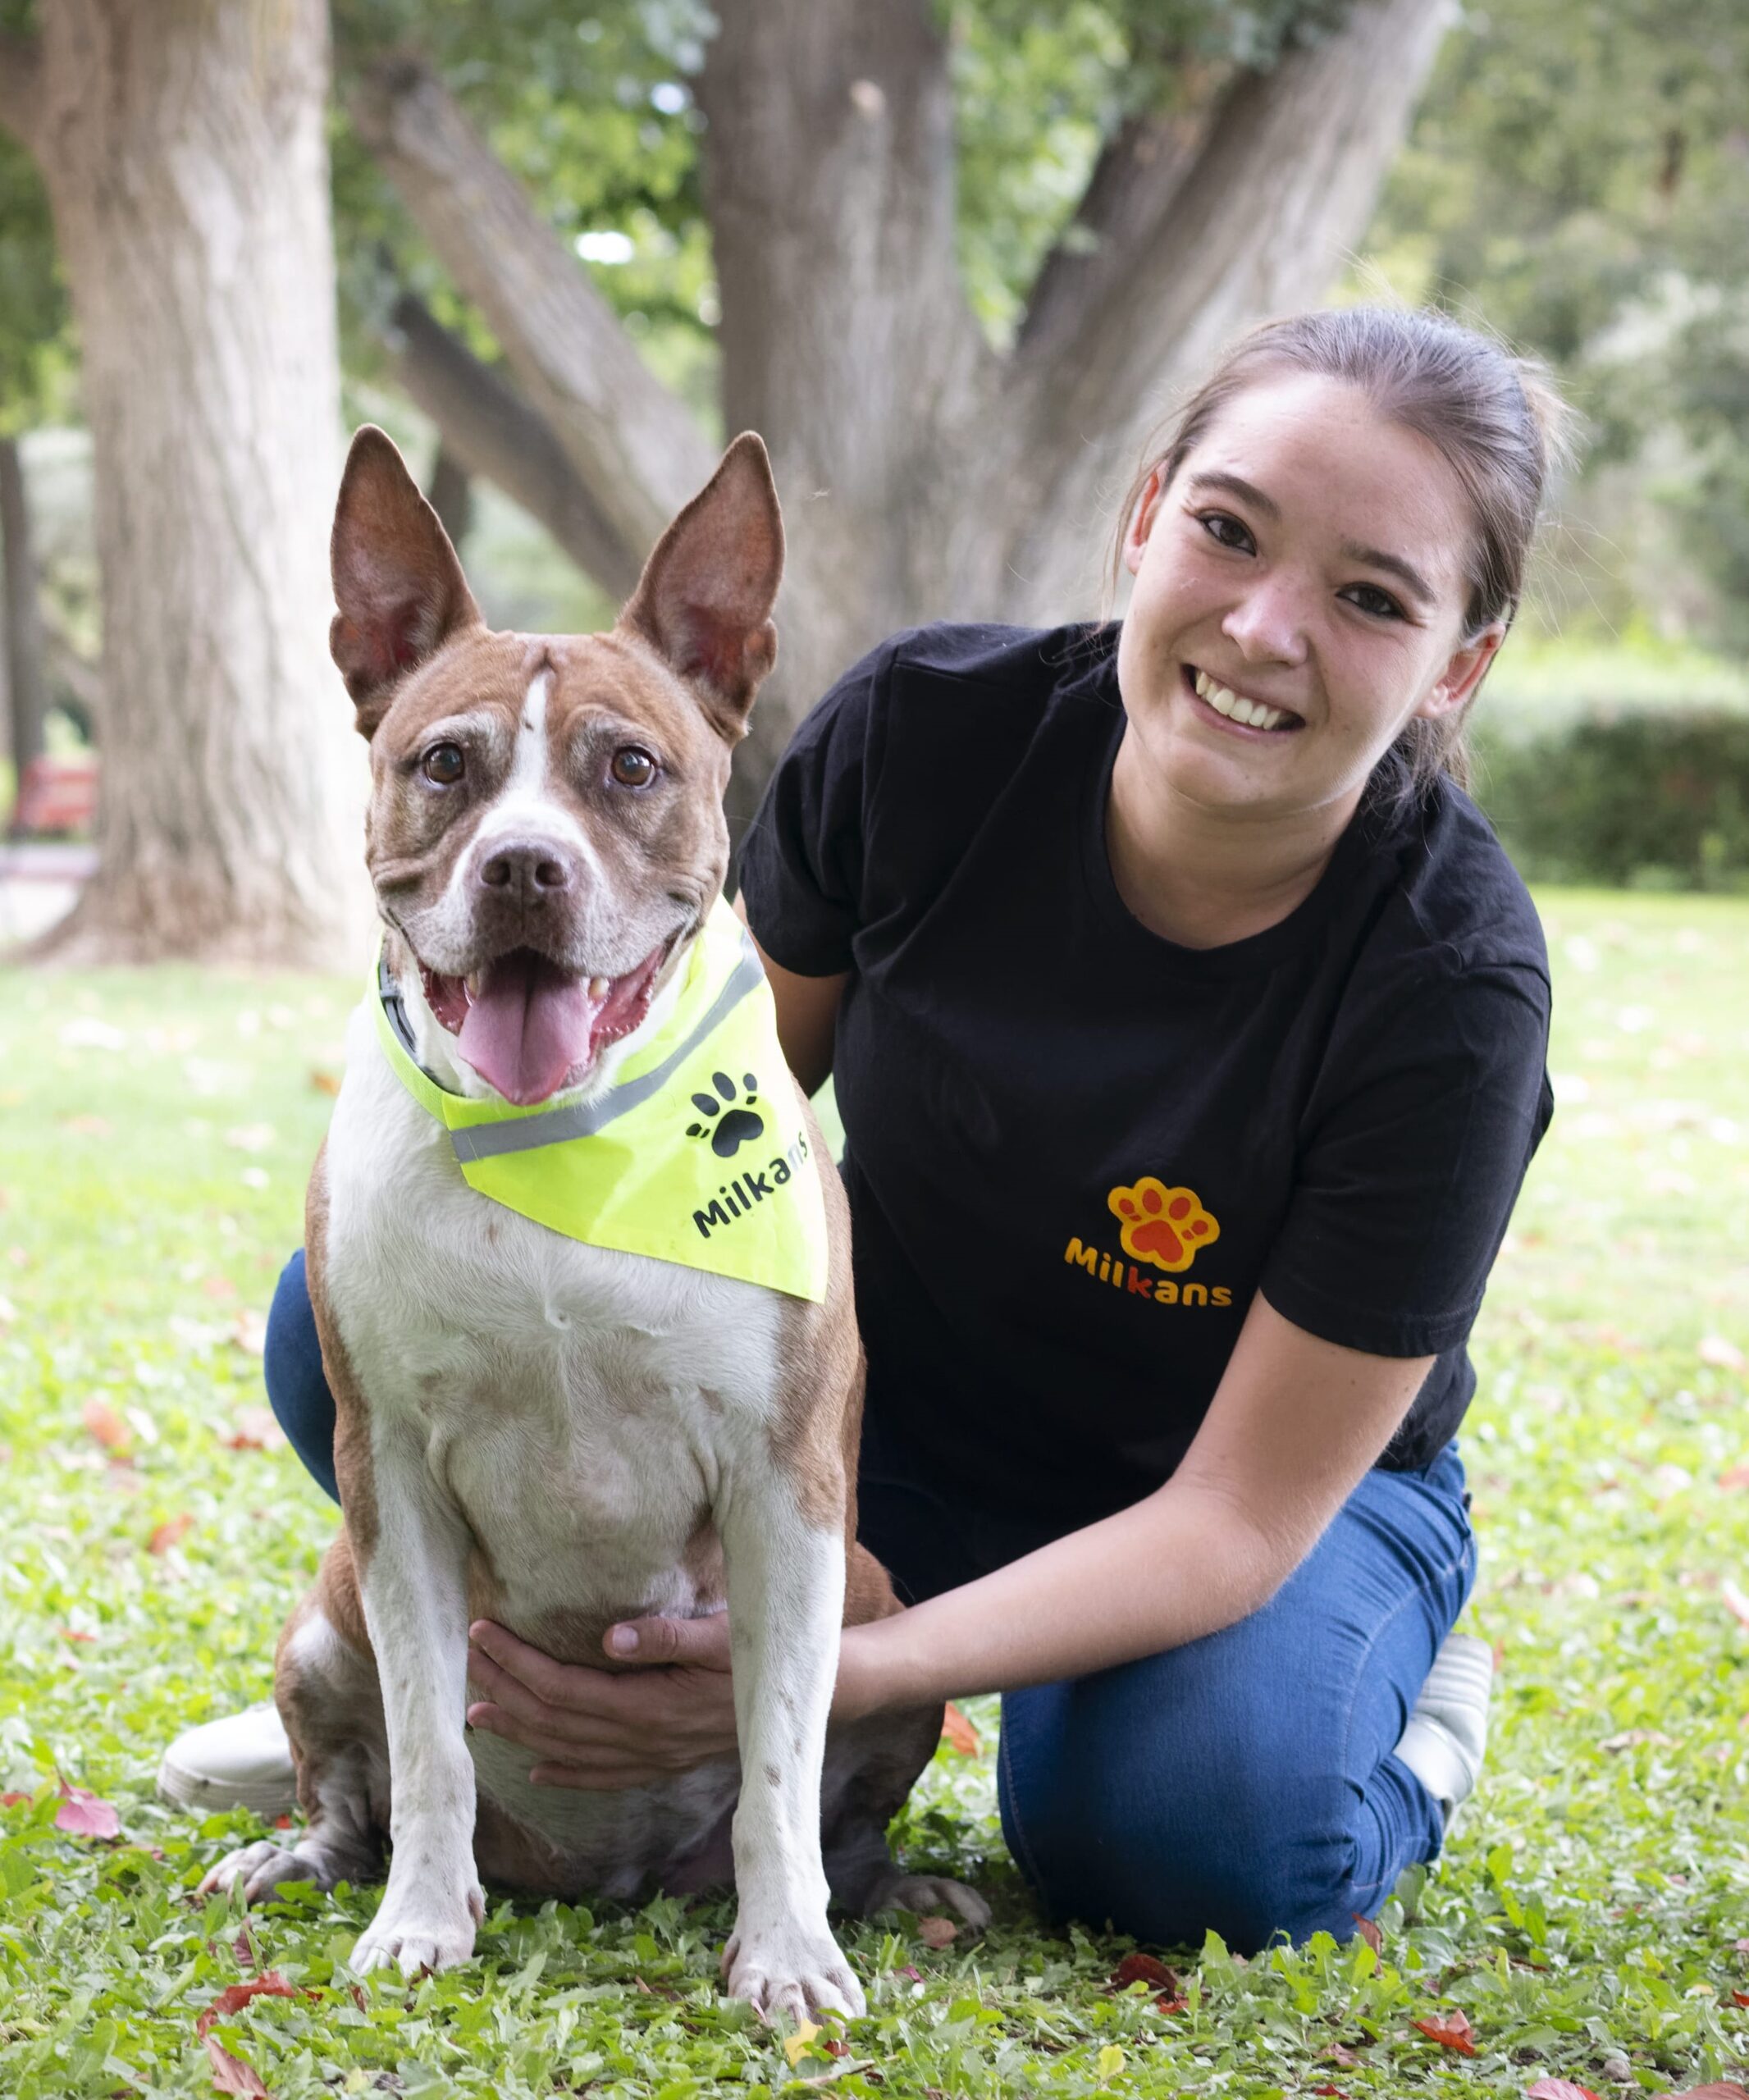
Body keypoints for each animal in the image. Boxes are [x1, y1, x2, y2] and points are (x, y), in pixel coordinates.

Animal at [204, 426, 982, 2016]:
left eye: (629, 766)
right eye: (446, 763)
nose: (524, 867)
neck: (561, 1141)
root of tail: (598, 1880)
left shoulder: (789, 1490)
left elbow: (776, 1760)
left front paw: (789, 1953)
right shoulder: (396, 1488)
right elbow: (427, 1743)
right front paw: (417, 1923)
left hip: (885, 1609)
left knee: (834, 1805)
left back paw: (891, 1893)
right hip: (323, 1613)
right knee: (351, 1781)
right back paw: (307, 1858)